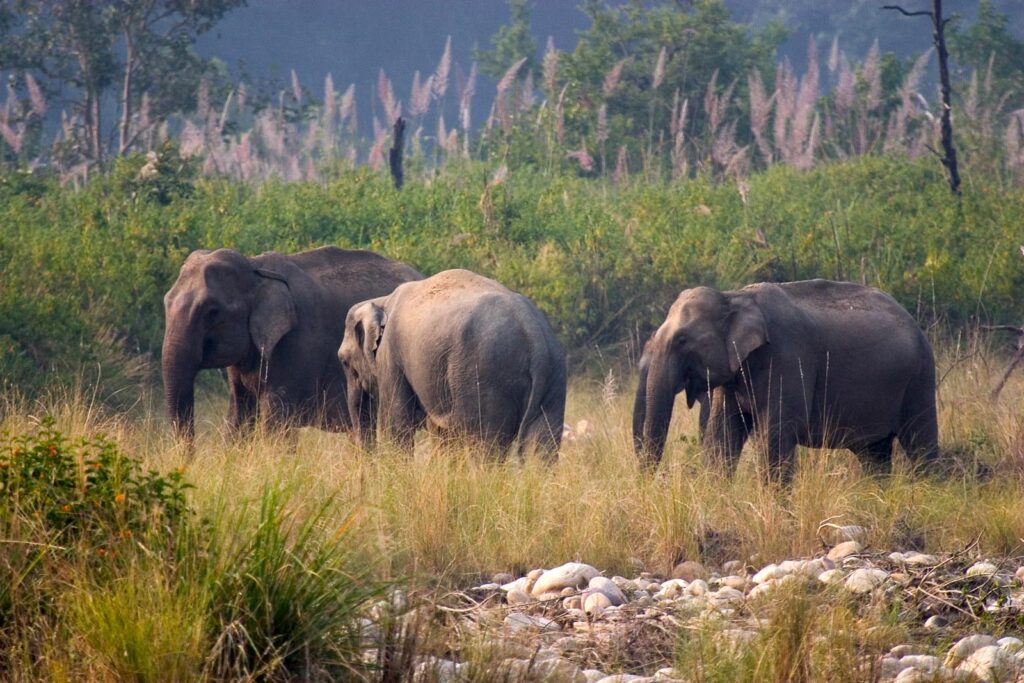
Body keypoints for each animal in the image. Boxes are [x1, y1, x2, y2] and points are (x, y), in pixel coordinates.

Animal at [158, 242, 419, 440]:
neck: (256, 268)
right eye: (166, 301)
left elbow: (275, 421)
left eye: (212, 311)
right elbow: (238, 415)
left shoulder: (296, 344)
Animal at [342, 270, 569, 456]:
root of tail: (533, 333)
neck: (383, 300)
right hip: (553, 376)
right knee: (539, 449)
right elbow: (442, 431)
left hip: (486, 376)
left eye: (343, 361)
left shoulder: (391, 355)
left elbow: (396, 423)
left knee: (486, 447)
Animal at [634, 278, 937, 481]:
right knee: (873, 454)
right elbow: (723, 435)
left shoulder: (787, 357)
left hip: (920, 377)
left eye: (682, 340)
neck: (734, 297)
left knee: (920, 442)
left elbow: (775, 434)